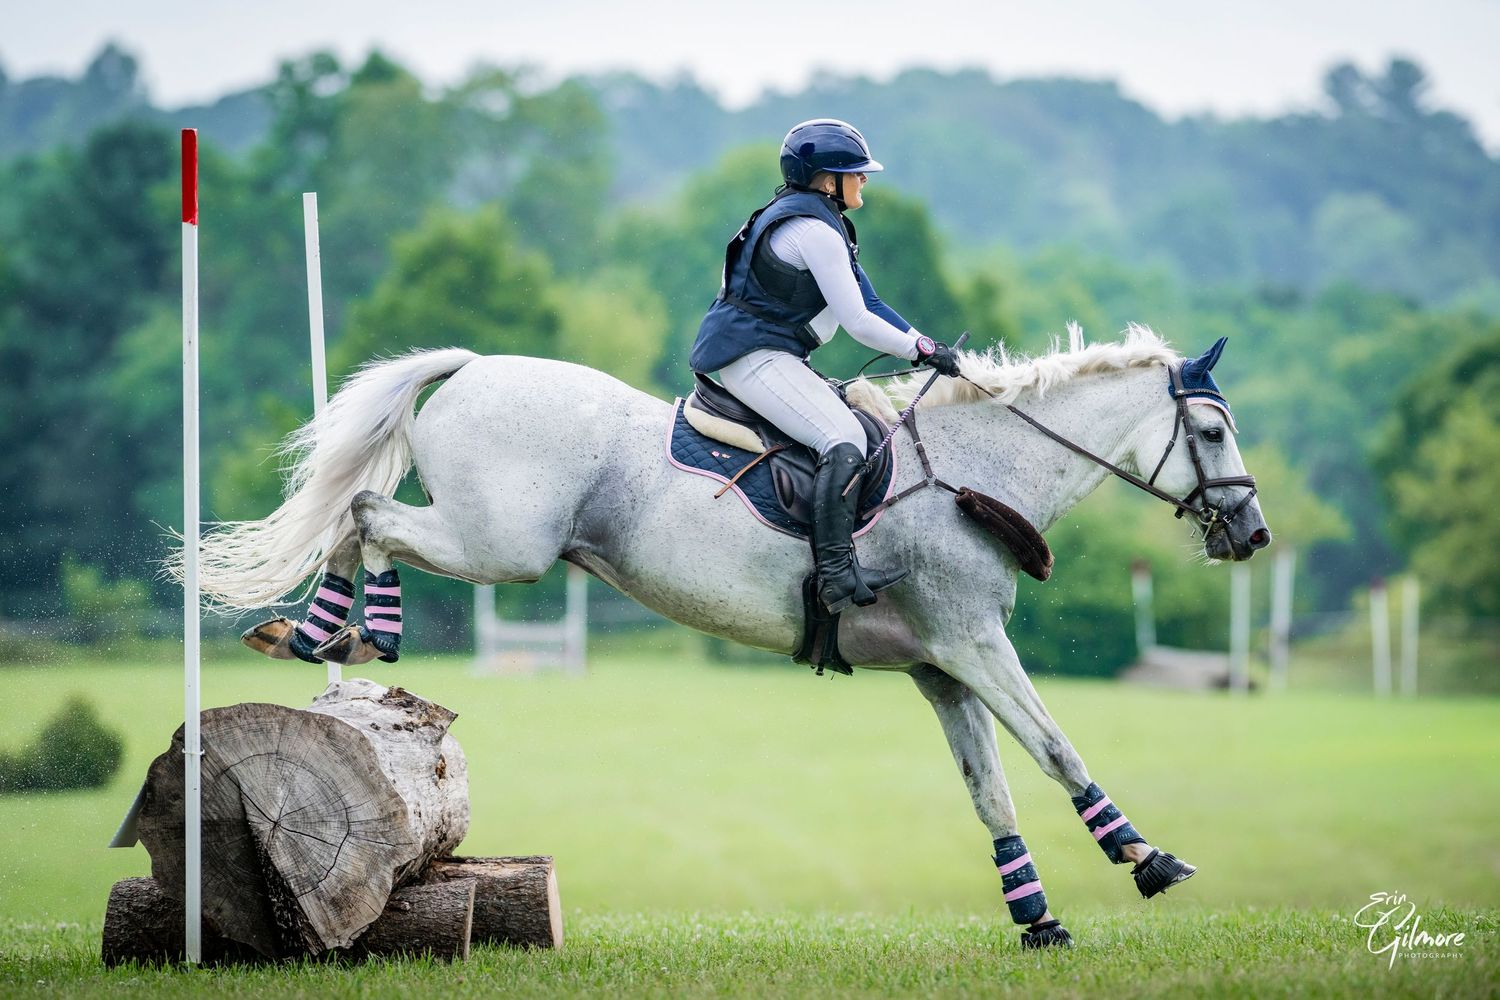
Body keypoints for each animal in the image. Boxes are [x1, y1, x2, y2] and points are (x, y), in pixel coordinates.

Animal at [183, 323, 1271, 948]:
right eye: (1214, 433)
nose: (1253, 533)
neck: (977, 470)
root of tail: (476, 366)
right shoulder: (973, 646)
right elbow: (1056, 749)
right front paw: (1146, 858)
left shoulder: (942, 668)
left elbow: (990, 788)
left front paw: (1035, 915)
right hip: (504, 545)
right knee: (367, 511)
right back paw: (355, 630)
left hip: (494, 540)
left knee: (356, 512)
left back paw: (319, 635)